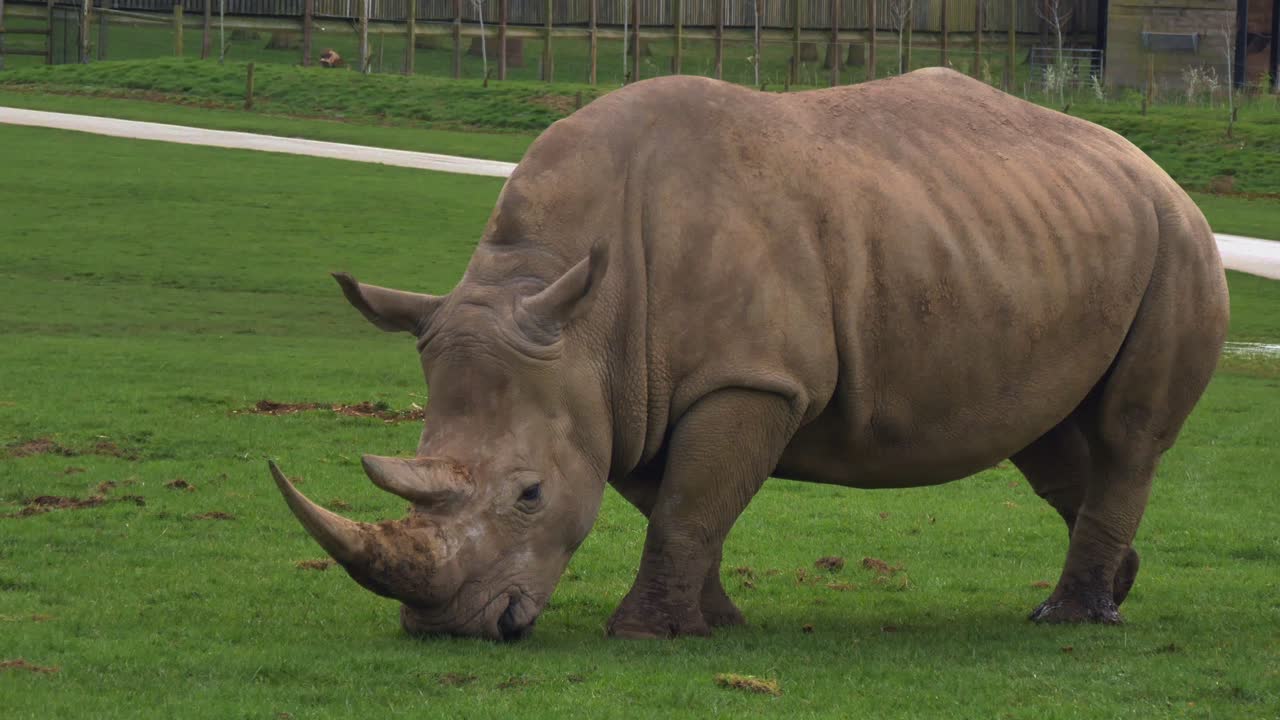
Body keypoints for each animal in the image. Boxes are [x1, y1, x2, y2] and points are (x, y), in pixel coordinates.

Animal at [269, 68, 1229, 641]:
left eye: (531, 496)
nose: (456, 628)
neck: (575, 311)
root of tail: (1145, 160)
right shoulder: (629, 390)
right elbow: (679, 500)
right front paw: (714, 624)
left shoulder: (747, 379)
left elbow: (690, 505)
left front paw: (644, 634)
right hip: (1042, 235)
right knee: (1046, 437)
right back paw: (1117, 587)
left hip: (1179, 242)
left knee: (1126, 435)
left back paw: (1068, 620)